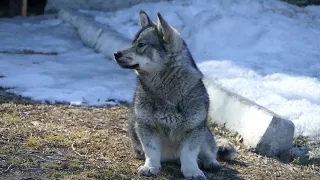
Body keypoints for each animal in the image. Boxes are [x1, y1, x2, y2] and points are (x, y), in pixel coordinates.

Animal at [114, 10, 236, 179]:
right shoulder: (146, 126)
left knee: (209, 150)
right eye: (132, 43)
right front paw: (151, 167)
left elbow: (190, 153)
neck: (167, 90)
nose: (116, 54)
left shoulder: (194, 128)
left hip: (204, 130)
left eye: (141, 45)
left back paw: (210, 162)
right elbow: (152, 150)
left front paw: (192, 170)